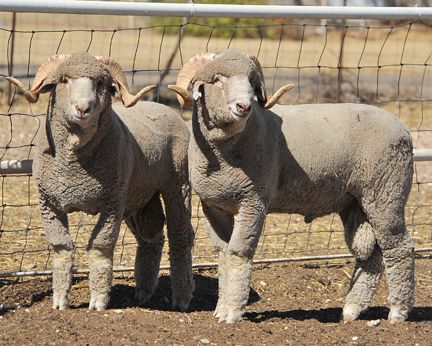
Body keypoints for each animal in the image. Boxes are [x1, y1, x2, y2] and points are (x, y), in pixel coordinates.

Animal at [7, 52, 193, 312]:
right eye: (63, 80)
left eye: (101, 83)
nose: (83, 108)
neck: (73, 165)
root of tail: (164, 107)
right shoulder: (48, 203)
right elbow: (61, 247)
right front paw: (60, 300)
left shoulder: (111, 205)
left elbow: (100, 247)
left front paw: (97, 301)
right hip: (139, 198)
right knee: (152, 238)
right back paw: (144, 292)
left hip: (177, 185)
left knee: (180, 236)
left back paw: (182, 297)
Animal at [169, 49, 416, 324]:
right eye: (218, 80)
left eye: (251, 82)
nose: (244, 107)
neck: (224, 155)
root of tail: (403, 128)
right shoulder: (213, 206)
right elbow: (224, 254)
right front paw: (221, 308)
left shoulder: (253, 200)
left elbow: (239, 252)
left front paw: (232, 311)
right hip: (356, 203)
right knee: (370, 254)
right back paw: (352, 309)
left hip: (387, 193)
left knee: (399, 247)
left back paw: (398, 312)